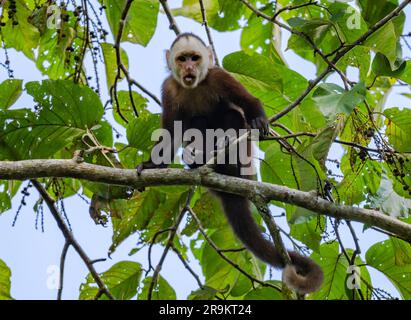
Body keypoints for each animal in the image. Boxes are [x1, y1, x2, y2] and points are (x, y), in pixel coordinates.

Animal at [138, 33, 326, 296]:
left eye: (195, 58)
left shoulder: (219, 76)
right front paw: (152, 165)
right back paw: (200, 160)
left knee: (232, 116)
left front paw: (258, 120)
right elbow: (170, 133)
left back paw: (227, 160)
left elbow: (247, 102)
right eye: (182, 59)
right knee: (196, 122)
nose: (188, 68)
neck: (194, 86)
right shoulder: (168, 88)